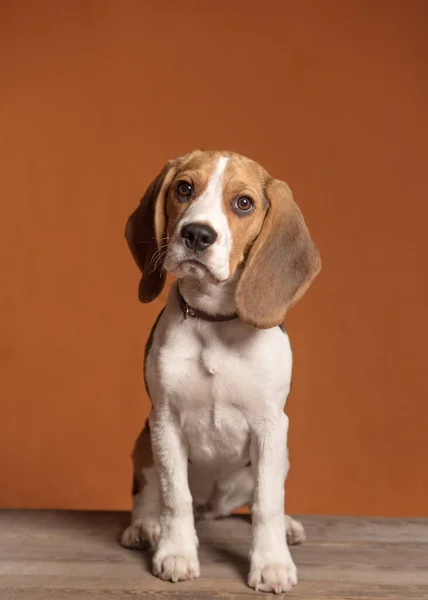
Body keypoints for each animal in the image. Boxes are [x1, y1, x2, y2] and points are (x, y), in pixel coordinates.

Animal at [122, 151, 320, 596]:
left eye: (243, 203)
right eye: (184, 188)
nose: (197, 234)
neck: (214, 321)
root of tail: (215, 508)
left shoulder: (270, 426)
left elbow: (267, 503)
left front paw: (272, 563)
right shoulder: (165, 421)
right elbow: (175, 497)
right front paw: (176, 552)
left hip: (280, 452)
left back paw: (288, 527)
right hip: (144, 440)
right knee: (151, 492)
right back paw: (145, 526)